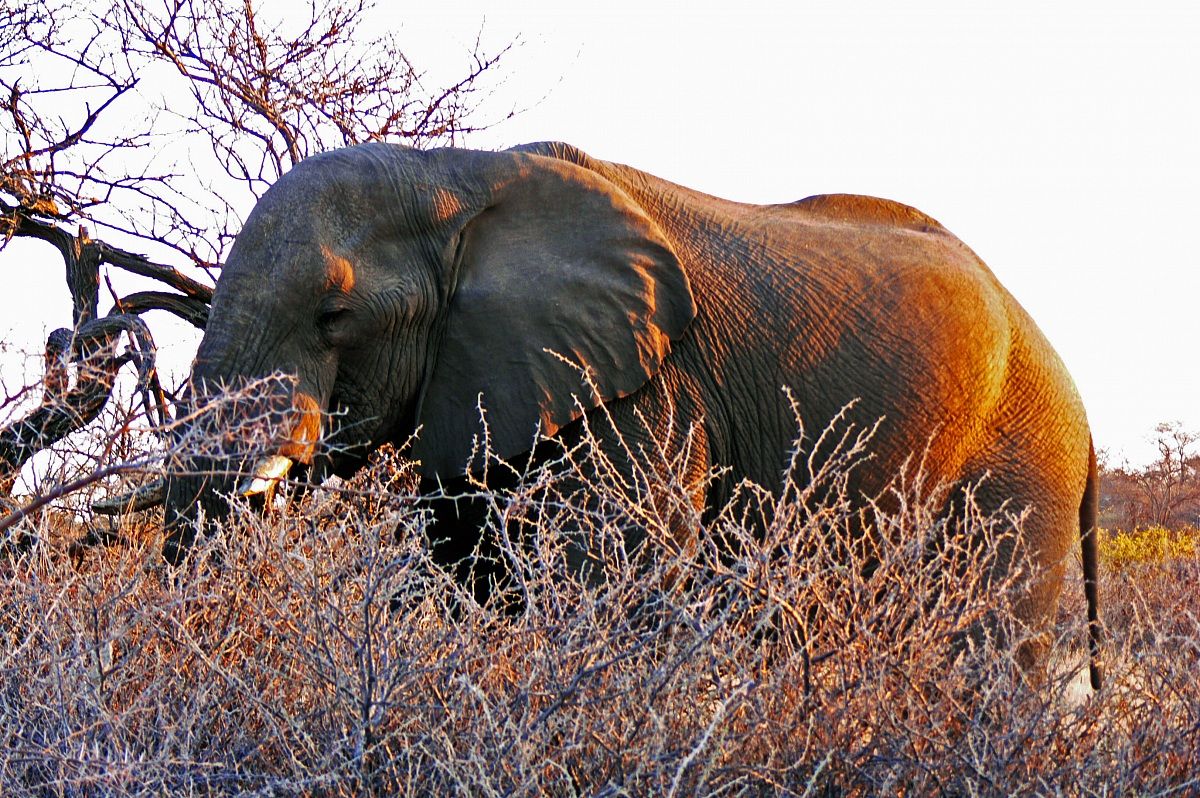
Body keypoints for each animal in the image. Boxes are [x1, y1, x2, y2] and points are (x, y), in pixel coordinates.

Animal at [156, 140, 1101, 688]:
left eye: (334, 315)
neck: (455, 174)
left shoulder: (648, 390)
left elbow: (614, 573)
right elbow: (467, 568)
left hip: (1019, 461)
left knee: (982, 649)